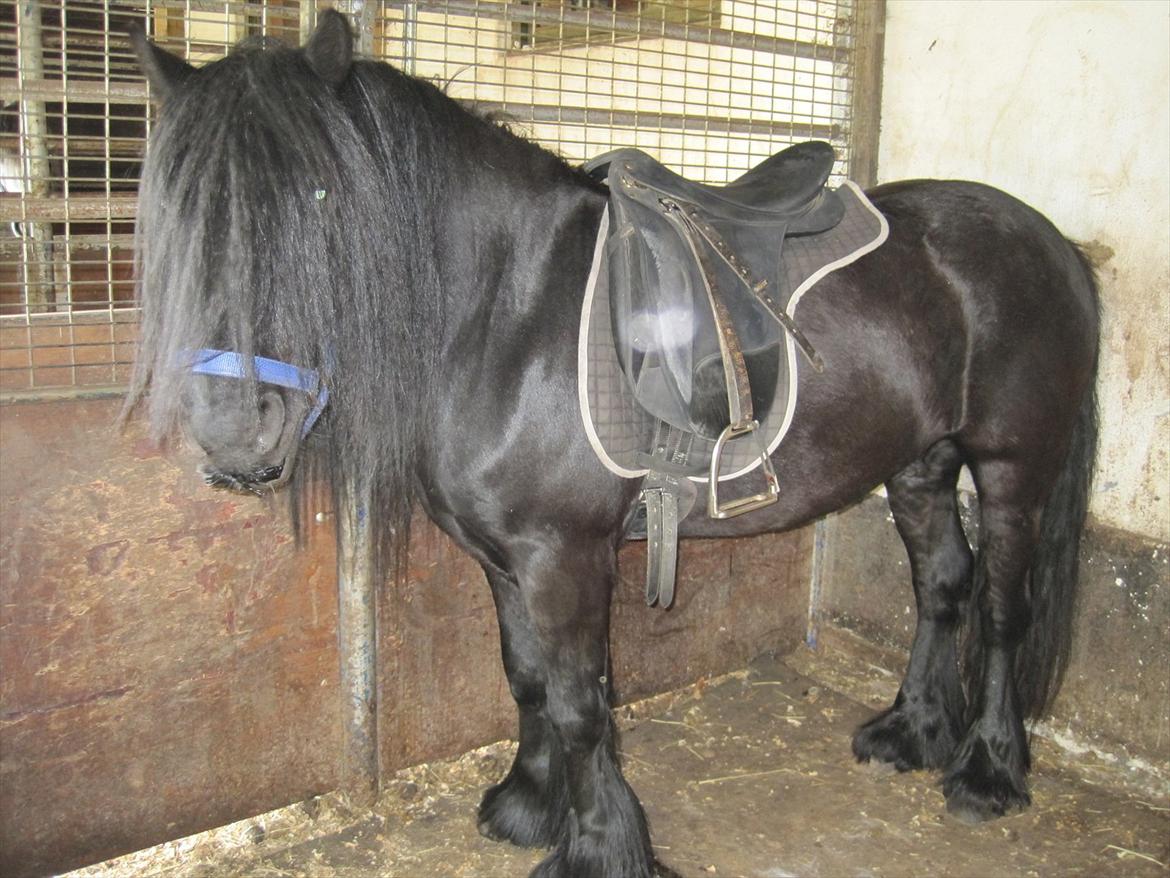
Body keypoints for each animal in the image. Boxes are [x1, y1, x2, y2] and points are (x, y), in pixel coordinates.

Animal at [126, 12, 1099, 878]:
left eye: (320, 197)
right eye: (176, 204)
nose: (235, 431)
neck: (506, 313)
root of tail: (1047, 239)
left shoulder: (564, 558)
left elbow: (581, 704)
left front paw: (598, 848)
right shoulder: (503, 558)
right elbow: (526, 680)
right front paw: (526, 807)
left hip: (1012, 469)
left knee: (1002, 611)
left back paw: (987, 771)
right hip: (921, 466)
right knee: (942, 586)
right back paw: (912, 732)